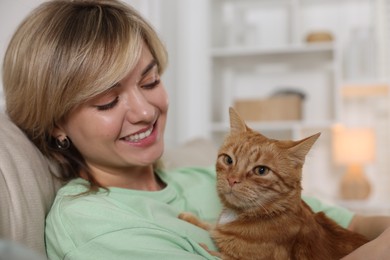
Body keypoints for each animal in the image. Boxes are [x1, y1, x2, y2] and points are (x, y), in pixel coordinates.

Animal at [180, 106, 368, 258]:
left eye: (261, 171)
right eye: (228, 160)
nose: (232, 179)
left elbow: (210, 250)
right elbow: (210, 227)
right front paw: (189, 217)